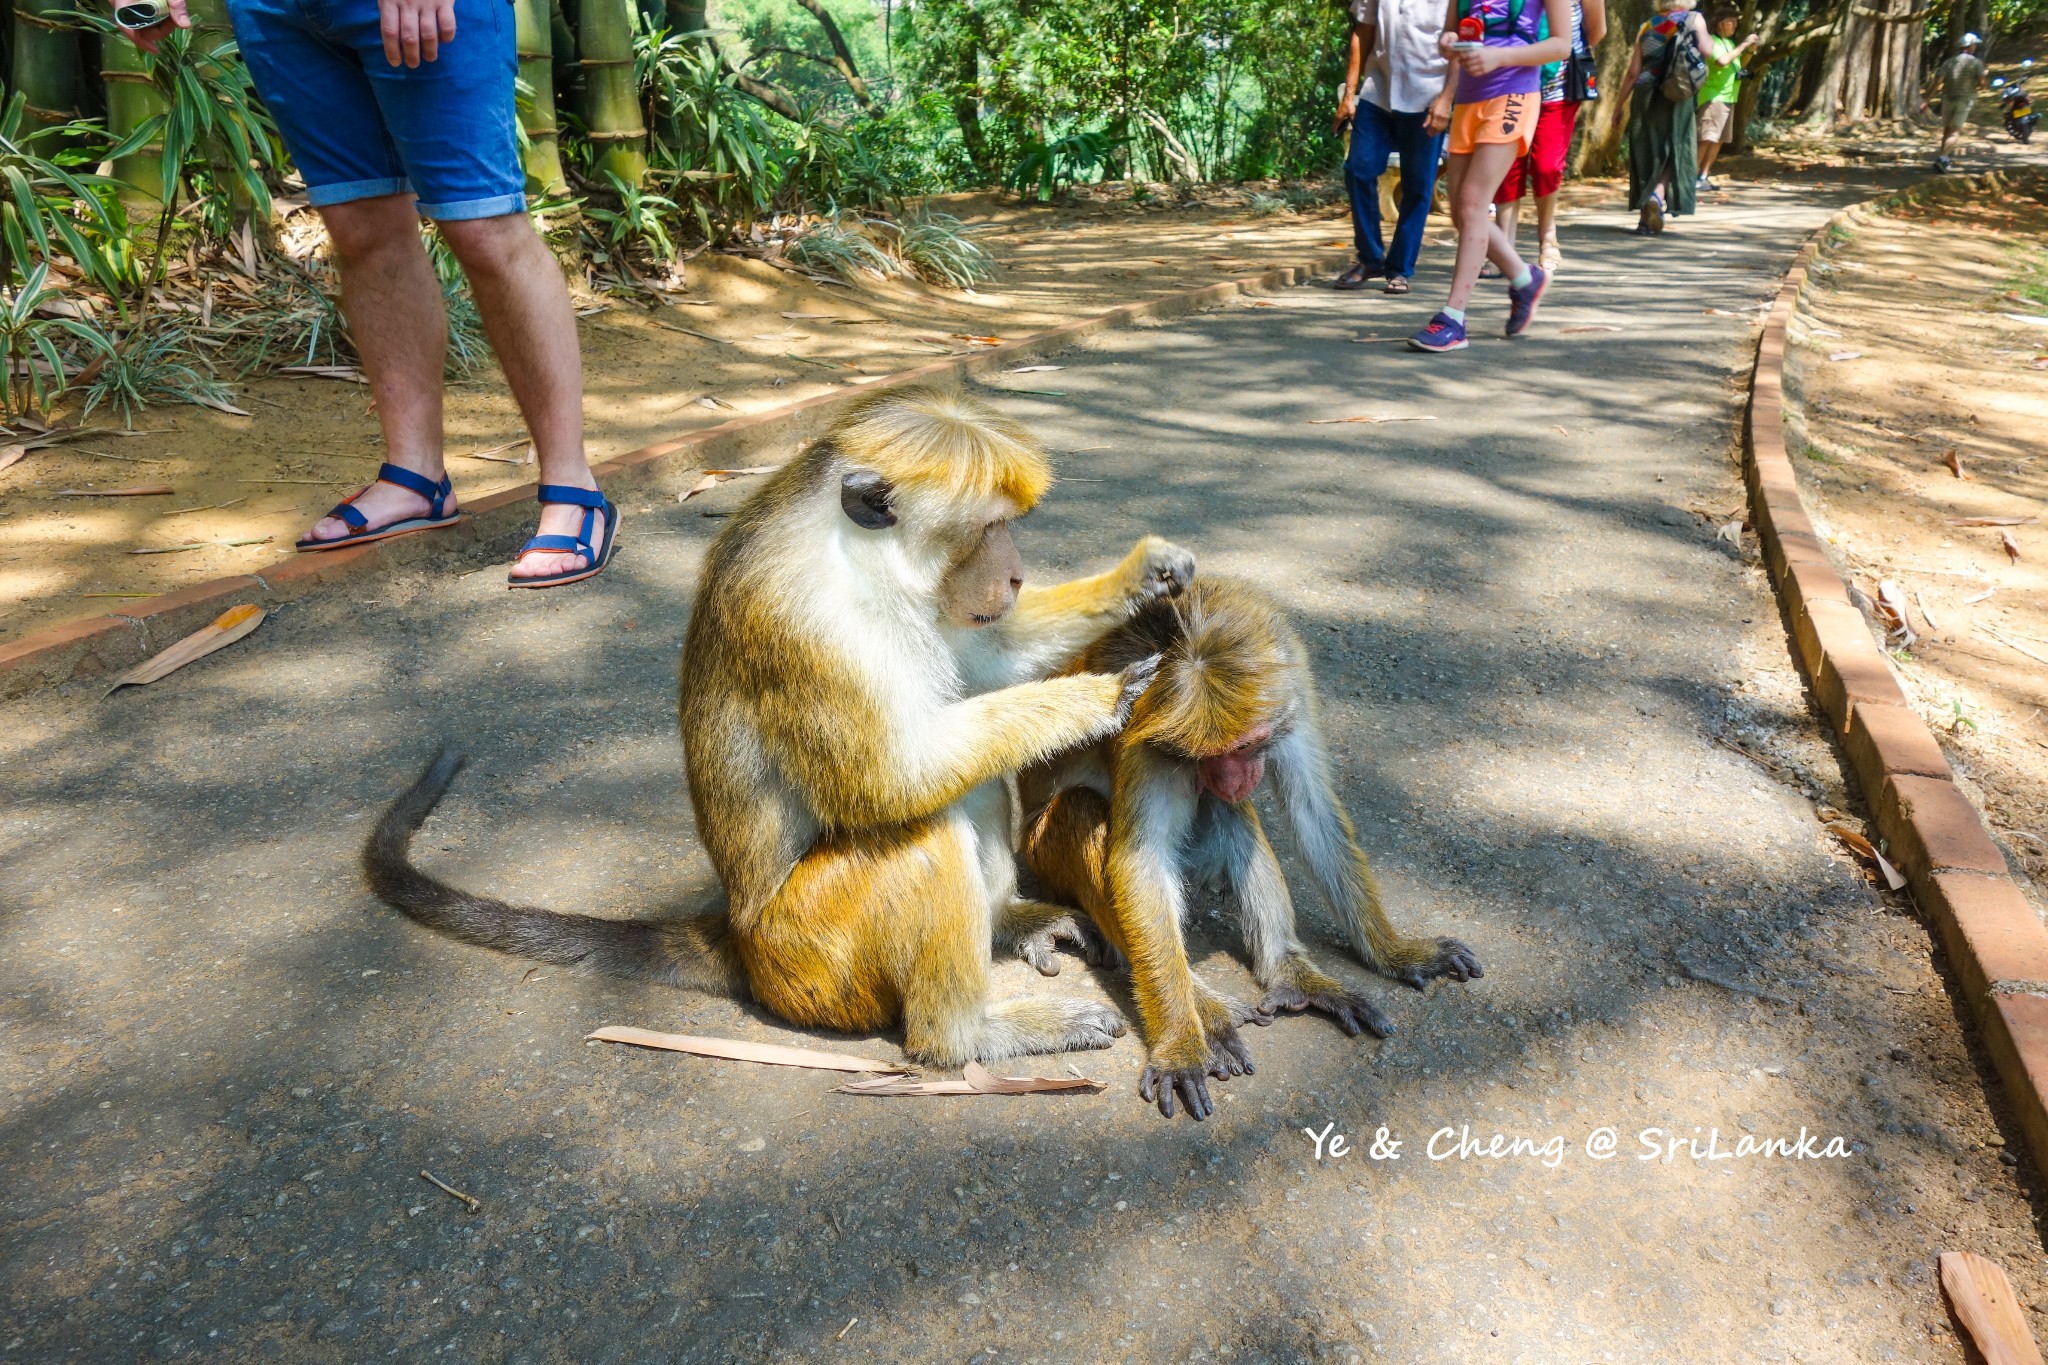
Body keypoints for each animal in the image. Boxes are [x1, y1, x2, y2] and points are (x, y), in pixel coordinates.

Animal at [370, 384, 1196, 1064]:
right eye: (990, 527)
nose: (1017, 574)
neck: (859, 561)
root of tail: (741, 935)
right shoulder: (809, 626)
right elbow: (889, 782)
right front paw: (1098, 696)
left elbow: (988, 656)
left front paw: (1144, 575)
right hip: (812, 954)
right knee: (924, 829)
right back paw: (963, 1037)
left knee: (975, 780)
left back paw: (1002, 921)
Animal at [1032, 577, 1482, 1121]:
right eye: (1210, 754)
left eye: (1246, 746)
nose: (1232, 778)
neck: (1191, 624)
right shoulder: (1147, 729)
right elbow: (1142, 863)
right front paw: (1181, 1043)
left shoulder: (1291, 683)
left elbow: (1313, 810)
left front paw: (1396, 953)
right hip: (1041, 853)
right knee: (1083, 807)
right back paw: (1207, 1011)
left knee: (1231, 814)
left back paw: (1288, 973)